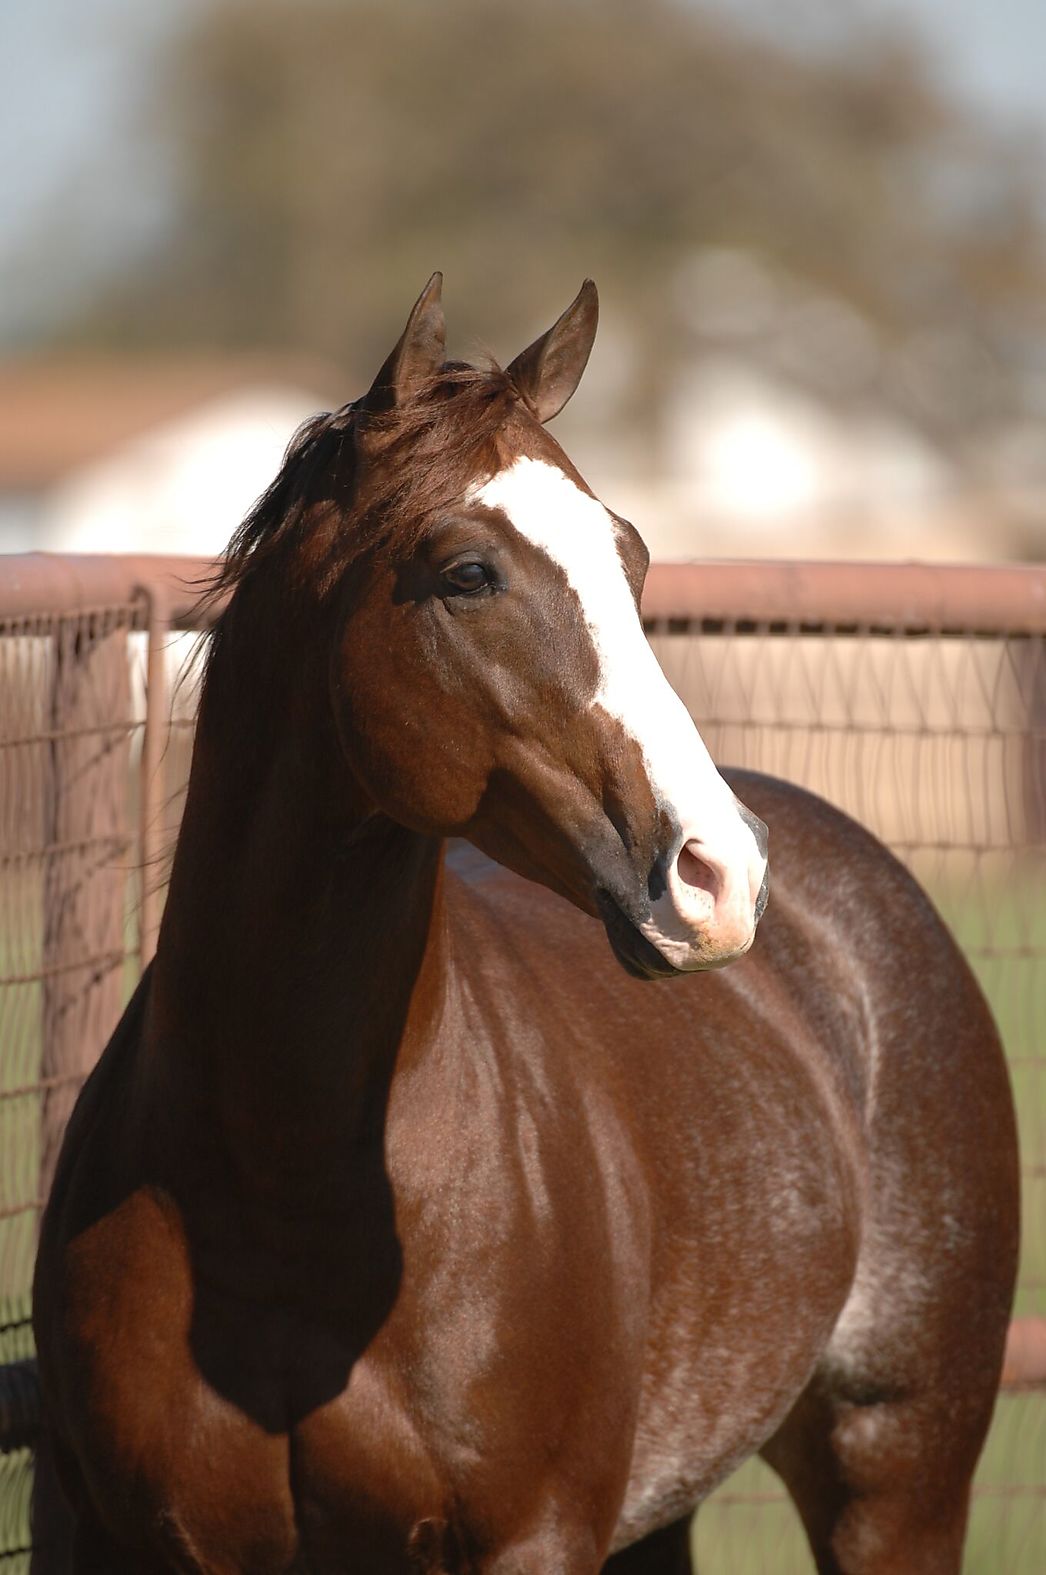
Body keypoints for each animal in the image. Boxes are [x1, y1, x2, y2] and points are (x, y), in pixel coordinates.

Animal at [34, 276, 1018, 1574]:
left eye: (630, 556)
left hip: (895, 1477)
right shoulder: (146, 1539)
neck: (278, 1180)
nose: (717, 874)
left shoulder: (533, 1538)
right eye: (465, 572)